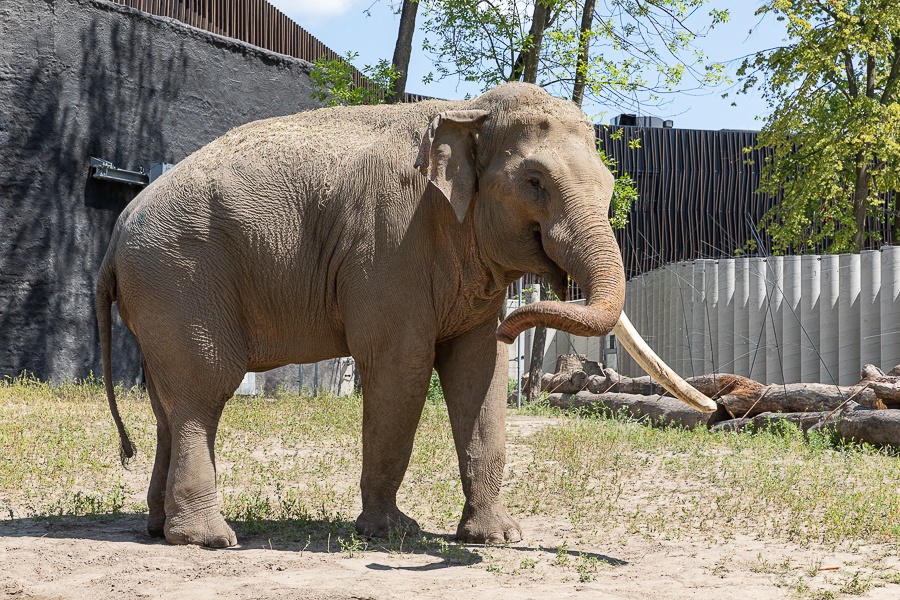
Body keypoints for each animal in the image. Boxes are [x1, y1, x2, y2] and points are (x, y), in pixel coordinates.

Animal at [93, 81, 712, 548]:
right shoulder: (391, 244)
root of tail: (115, 236)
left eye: (610, 186)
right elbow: (402, 368)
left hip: (161, 296)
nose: (513, 322)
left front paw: (497, 537)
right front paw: (392, 533)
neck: (468, 110)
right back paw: (210, 539)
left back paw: (158, 528)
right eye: (534, 182)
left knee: (168, 402)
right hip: (181, 278)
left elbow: (478, 372)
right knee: (203, 391)